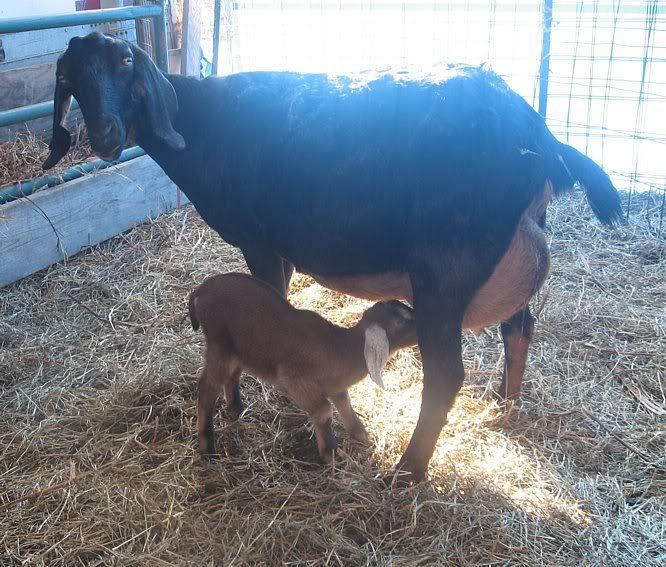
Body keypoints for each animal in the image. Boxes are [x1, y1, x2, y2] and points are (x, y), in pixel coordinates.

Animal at [188, 273, 417, 462]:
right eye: (399, 321)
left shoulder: (334, 386)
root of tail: (201, 290)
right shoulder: (296, 380)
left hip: (237, 349)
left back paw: (236, 409)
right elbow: (324, 411)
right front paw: (331, 454)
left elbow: (345, 403)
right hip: (220, 345)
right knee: (207, 387)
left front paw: (360, 433)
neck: (342, 350)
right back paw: (208, 447)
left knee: (232, 376)